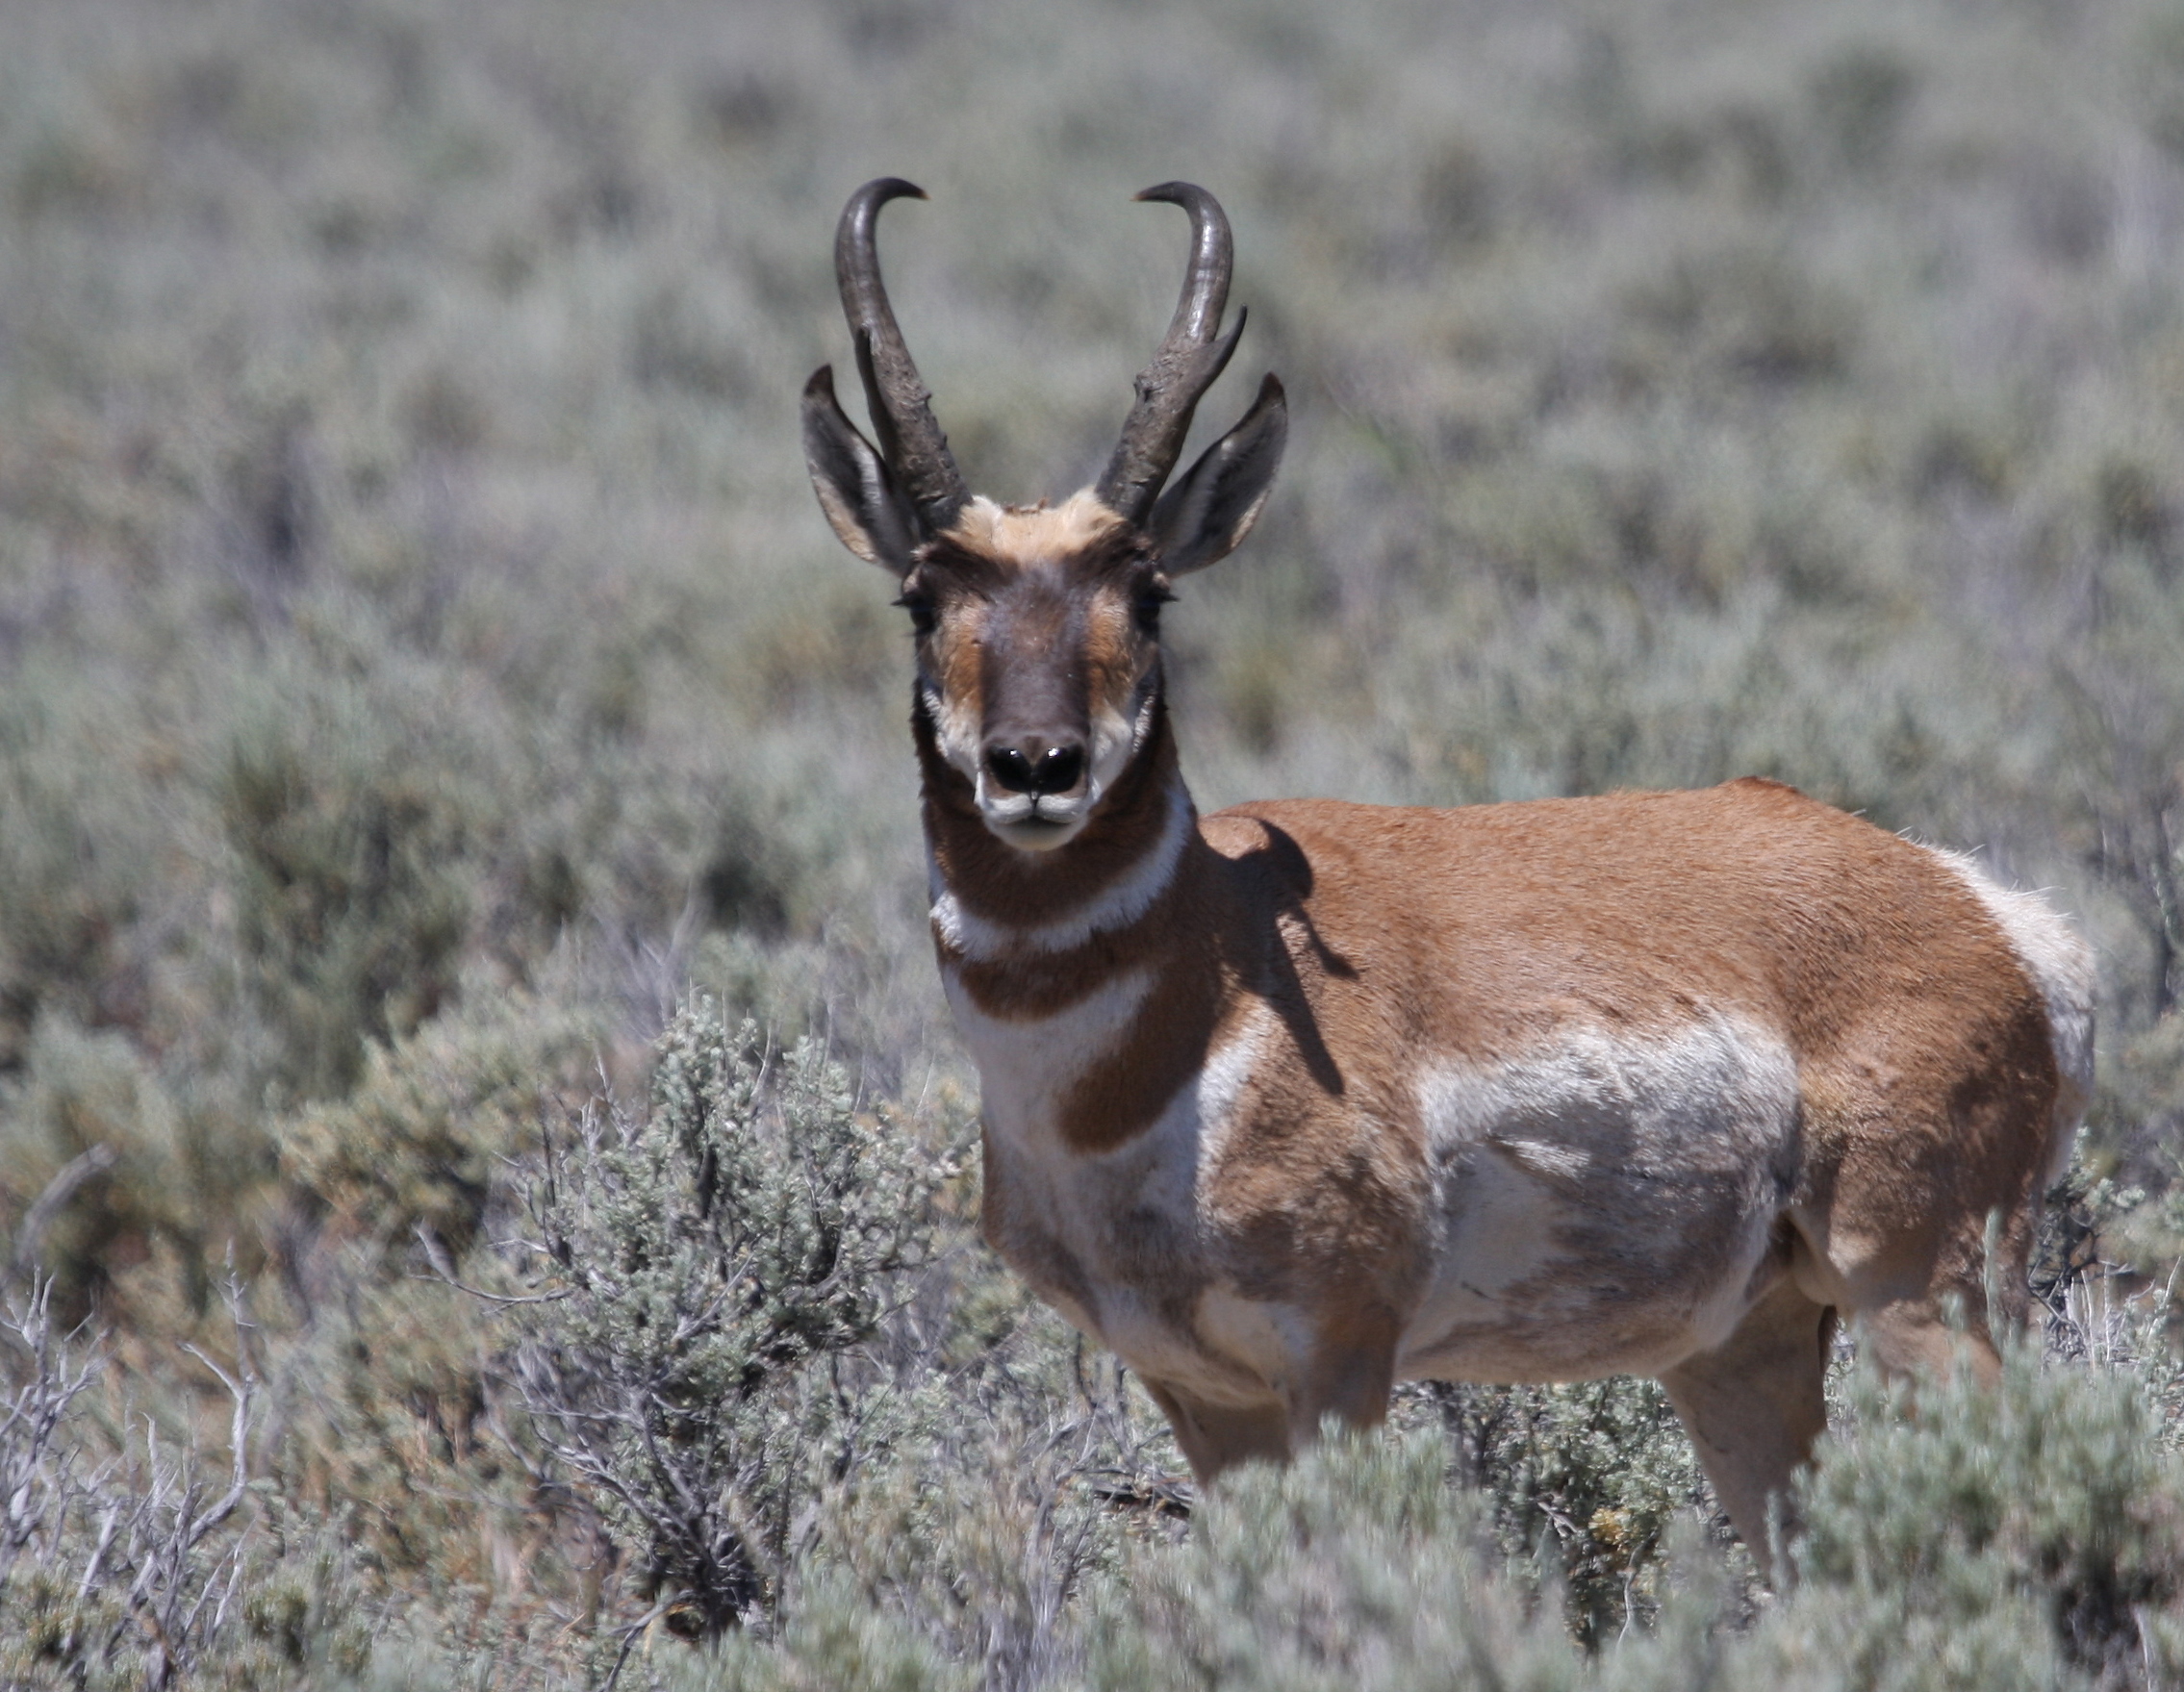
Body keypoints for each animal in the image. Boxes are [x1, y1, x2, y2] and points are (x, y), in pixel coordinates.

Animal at [800, 178, 2096, 1565]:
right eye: (922, 597)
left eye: (1144, 591)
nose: (1035, 768)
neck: (1211, 974)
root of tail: (1989, 911)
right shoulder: (1203, 1393)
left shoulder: (1338, 1360)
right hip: (1742, 1350)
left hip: (1918, 1298)